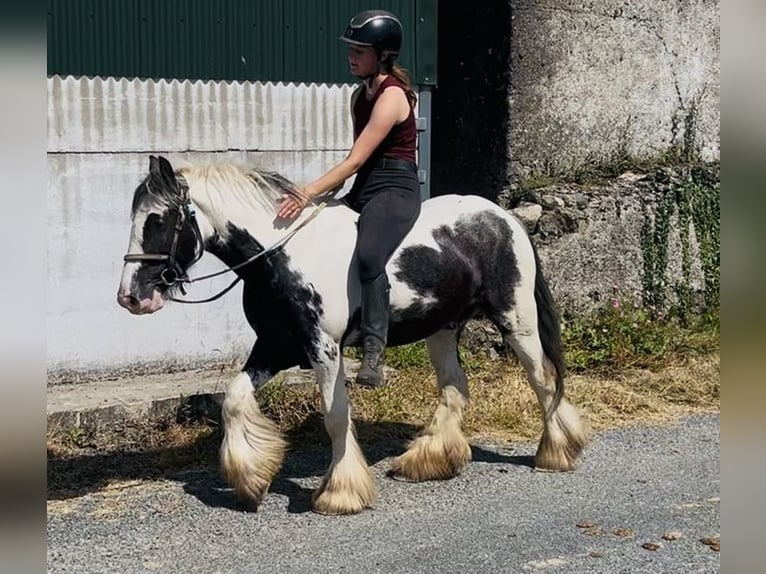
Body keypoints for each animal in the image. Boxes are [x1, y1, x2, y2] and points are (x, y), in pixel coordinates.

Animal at [117, 155, 588, 516]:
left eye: (159, 221)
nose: (131, 297)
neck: (282, 255)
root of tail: (504, 217)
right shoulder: (275, 346)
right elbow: (233, 400)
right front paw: (250, 481)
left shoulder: (324, 349)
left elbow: (335, 415)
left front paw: (340, 494)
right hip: (441, 328)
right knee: (456, 388)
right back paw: (428, 460)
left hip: (516, 318)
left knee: (543, 380)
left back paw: (557, 452)